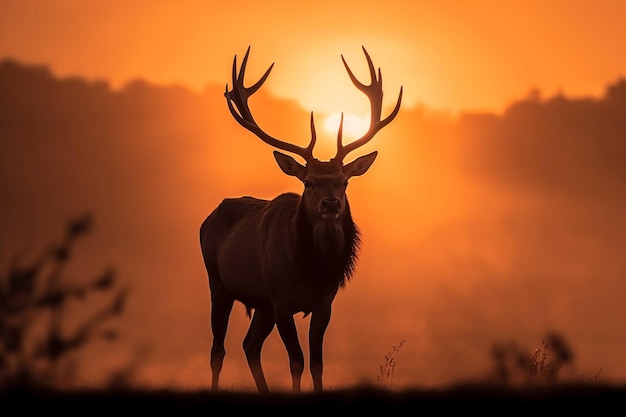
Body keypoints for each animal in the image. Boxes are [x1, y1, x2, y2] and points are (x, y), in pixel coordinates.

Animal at [202, 45, 402, 394]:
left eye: (344, 181)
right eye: (308, 182)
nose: (331, 203)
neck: (312, 271)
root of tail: (209, 217)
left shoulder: (323, 304)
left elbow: (317, 364)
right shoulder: (281, 300)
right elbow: (296, 361)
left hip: (261, 303)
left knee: (249, 345)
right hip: (219, 283)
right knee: (219, 349)